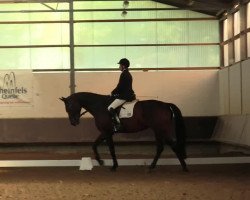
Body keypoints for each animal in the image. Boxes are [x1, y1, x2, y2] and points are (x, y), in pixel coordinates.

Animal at [59, 92, 187, 172]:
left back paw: (184, 167)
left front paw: (114, 166)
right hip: (158, 131)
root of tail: (166, 104)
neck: (99, 106)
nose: (73, 122)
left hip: (161, 129)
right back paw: (152, 167)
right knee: (161, 147)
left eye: (69, 106)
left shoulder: (107, 132)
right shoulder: (105, 132)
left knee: (172, 145)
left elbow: (111, 149)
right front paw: (100, 161)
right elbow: (94, 145)